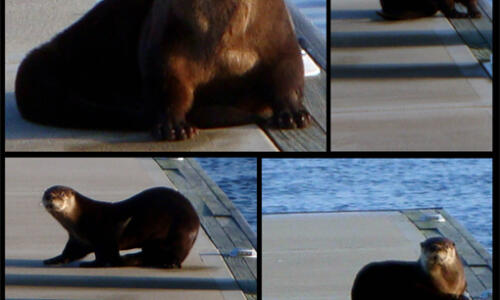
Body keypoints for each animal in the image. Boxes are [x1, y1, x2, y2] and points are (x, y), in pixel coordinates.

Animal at [14, 0, 308, 141]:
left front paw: (293, 114)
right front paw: (173, 126)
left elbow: (289, 73)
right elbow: (167, 85)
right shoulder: (164, 44)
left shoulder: (279, 35)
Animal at [41, 185, 200, 268]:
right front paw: (53, 260)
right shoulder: (78, 240)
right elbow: (69, 253)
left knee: (175, 256)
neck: (81, 219)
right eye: (46, 194)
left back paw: (169, 263)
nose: (50, 197)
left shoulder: (104, 234)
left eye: (62, 193)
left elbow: (104, 255)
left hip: (181, 232)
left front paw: (92, 264)